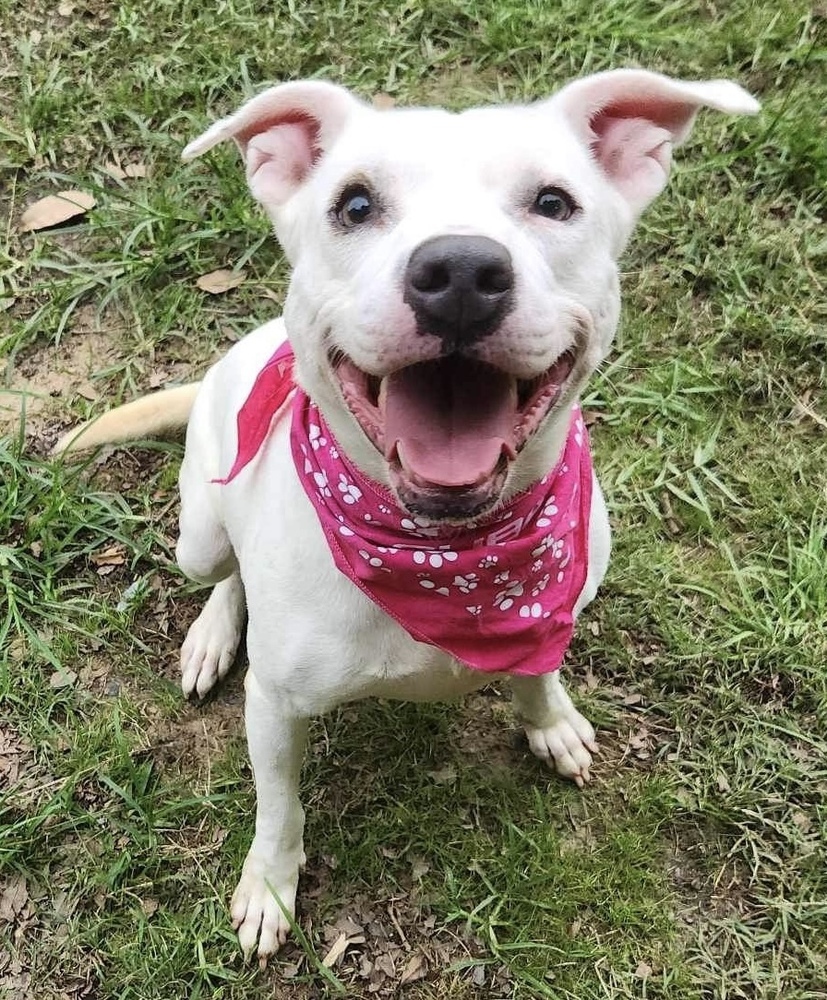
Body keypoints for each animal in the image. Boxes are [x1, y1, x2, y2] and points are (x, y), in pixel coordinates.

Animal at [55, 66, 760, 956]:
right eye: (355, 205)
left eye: (554, 202)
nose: (459, 272)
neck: (445, 553)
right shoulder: (274, 708)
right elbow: (279, 807)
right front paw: (269, 887)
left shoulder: (552, 608)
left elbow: (538, 671)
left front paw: (550, 720)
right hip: (199, 533)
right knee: (224, 572)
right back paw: (213, 635)